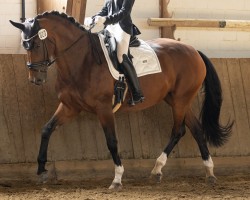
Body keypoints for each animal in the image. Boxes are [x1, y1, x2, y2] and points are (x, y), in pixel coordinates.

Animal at [9, 10, 232, 189]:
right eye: (24, 45)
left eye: (36, 44)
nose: (36, 79)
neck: (82, 60)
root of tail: (194, 50)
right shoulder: (70, 106)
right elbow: (47, 129)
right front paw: (41, 170)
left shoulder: (104, 109)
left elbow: (112, 141)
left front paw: (117, 179)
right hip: (177, 100)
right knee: (196, 129)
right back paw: (208, 173)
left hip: (180, 100)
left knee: (179, 130)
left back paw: (157, 169)